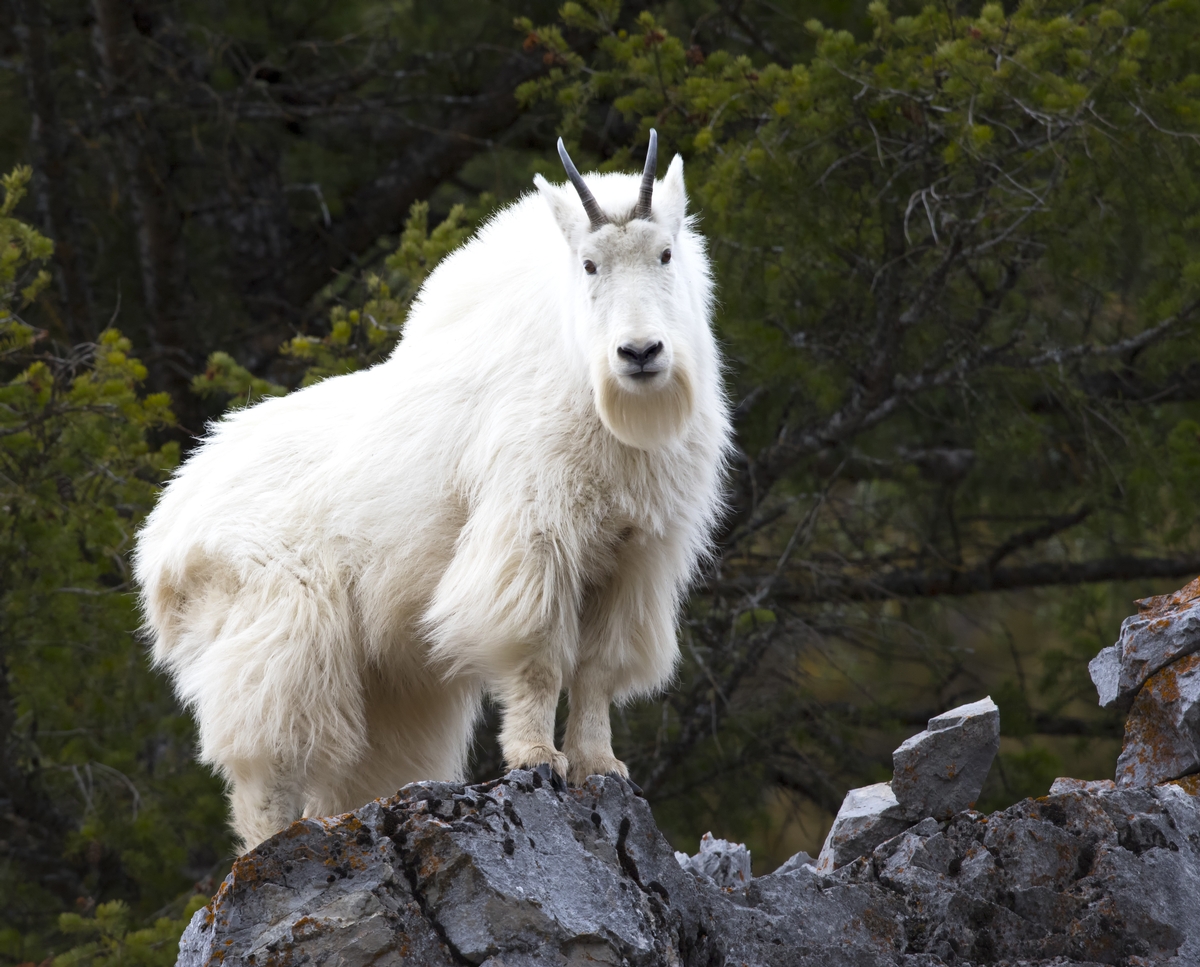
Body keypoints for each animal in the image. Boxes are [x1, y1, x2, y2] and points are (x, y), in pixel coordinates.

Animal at [132, 132, 729, 854]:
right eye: (589, 264)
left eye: (665, 252)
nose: (639, 353)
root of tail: (162, 536)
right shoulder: (533, 537)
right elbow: (538, 654)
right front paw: (538, 757)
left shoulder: (635, 555)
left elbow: (599, 668)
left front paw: (600, 764)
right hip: (278, 630)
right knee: (269, 762)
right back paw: (270, 847)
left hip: (384, 675)